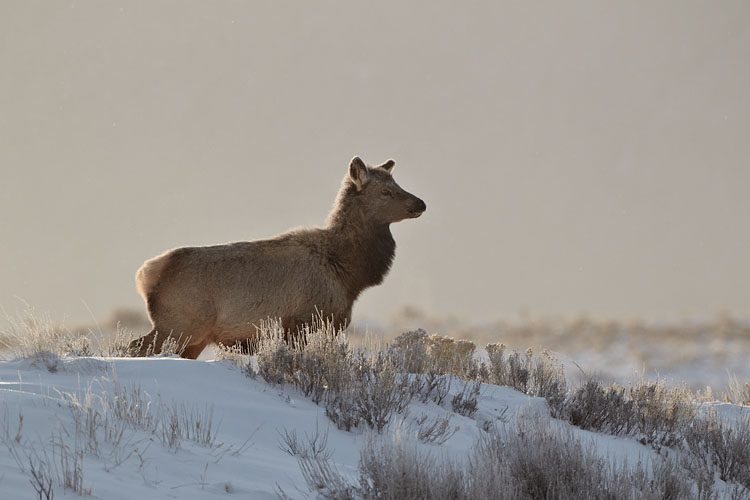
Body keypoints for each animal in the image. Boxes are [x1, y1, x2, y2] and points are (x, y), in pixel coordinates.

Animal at [129, 158, 424, 358]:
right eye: (385, 191)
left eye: (396, 183)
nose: (421, 203)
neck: (349, 274)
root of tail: (146, 275)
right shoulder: (304, 321)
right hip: (178, 324)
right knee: (134, 346)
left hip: (193, 337)